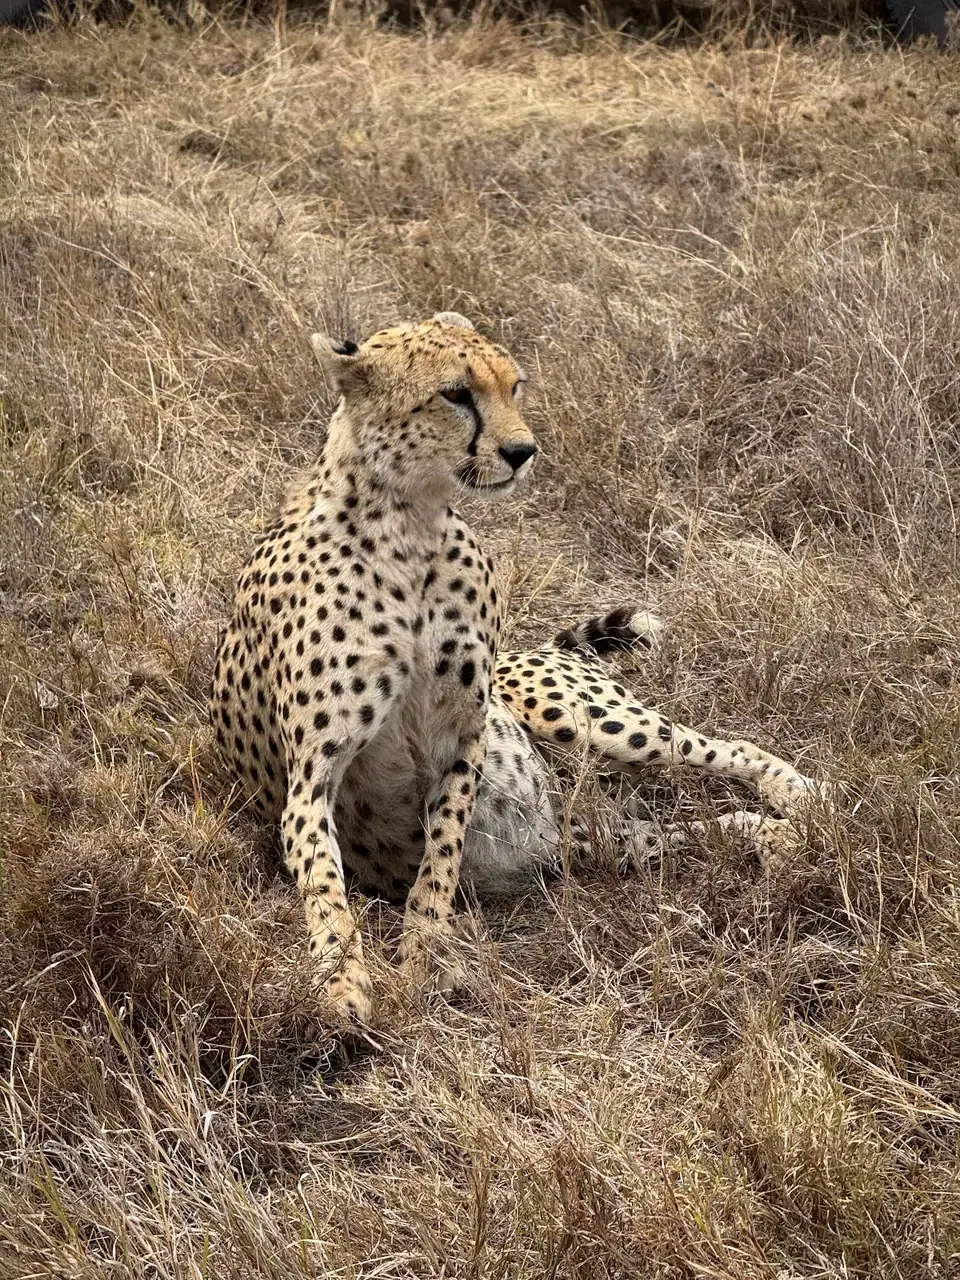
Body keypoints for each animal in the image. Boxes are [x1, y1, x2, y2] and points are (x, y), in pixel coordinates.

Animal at [211, 311, 824, 1028]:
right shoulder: (312, 778)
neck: (409, 526)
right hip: (605, 837)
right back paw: (768, 835)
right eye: (455, 394)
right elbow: (324, 884)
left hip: (581, 718)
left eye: (514, 385)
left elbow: (442, 854)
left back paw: (799, 799)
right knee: (674, 834)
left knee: (718, 746)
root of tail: (562, 834)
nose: (522, 451)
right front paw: (343, 986)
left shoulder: (463, 739)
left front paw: (423, 953)